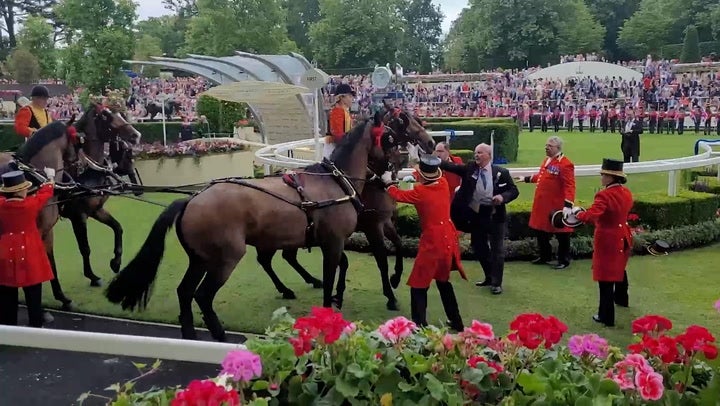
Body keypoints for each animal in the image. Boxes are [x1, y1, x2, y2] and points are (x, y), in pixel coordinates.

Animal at [0, 119, 79, 310]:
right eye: (77, 139)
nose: (78, 163)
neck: (34, 178)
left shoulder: (47, 231)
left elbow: (50, 261)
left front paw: (62, 297)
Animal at [61, 104, 143, 288]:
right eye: (106, 116)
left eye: (121, 113)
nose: (136, 135)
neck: (86, 171)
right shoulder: (78, 216)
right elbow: (85, 248)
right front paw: (92, 276)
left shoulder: (96, 210)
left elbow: (117, 227)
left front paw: (116, 262)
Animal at [105, 113, 434, 340]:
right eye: (390, 135)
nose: (402, 160)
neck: (335, 183)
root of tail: (192, 200)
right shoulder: (336, 240)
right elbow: (336, 274)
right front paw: (336, 304)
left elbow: (346, 267)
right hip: (225, 258)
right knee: (203, 296)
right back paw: (220, 335)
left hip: (200, 259)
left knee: (186, 292)